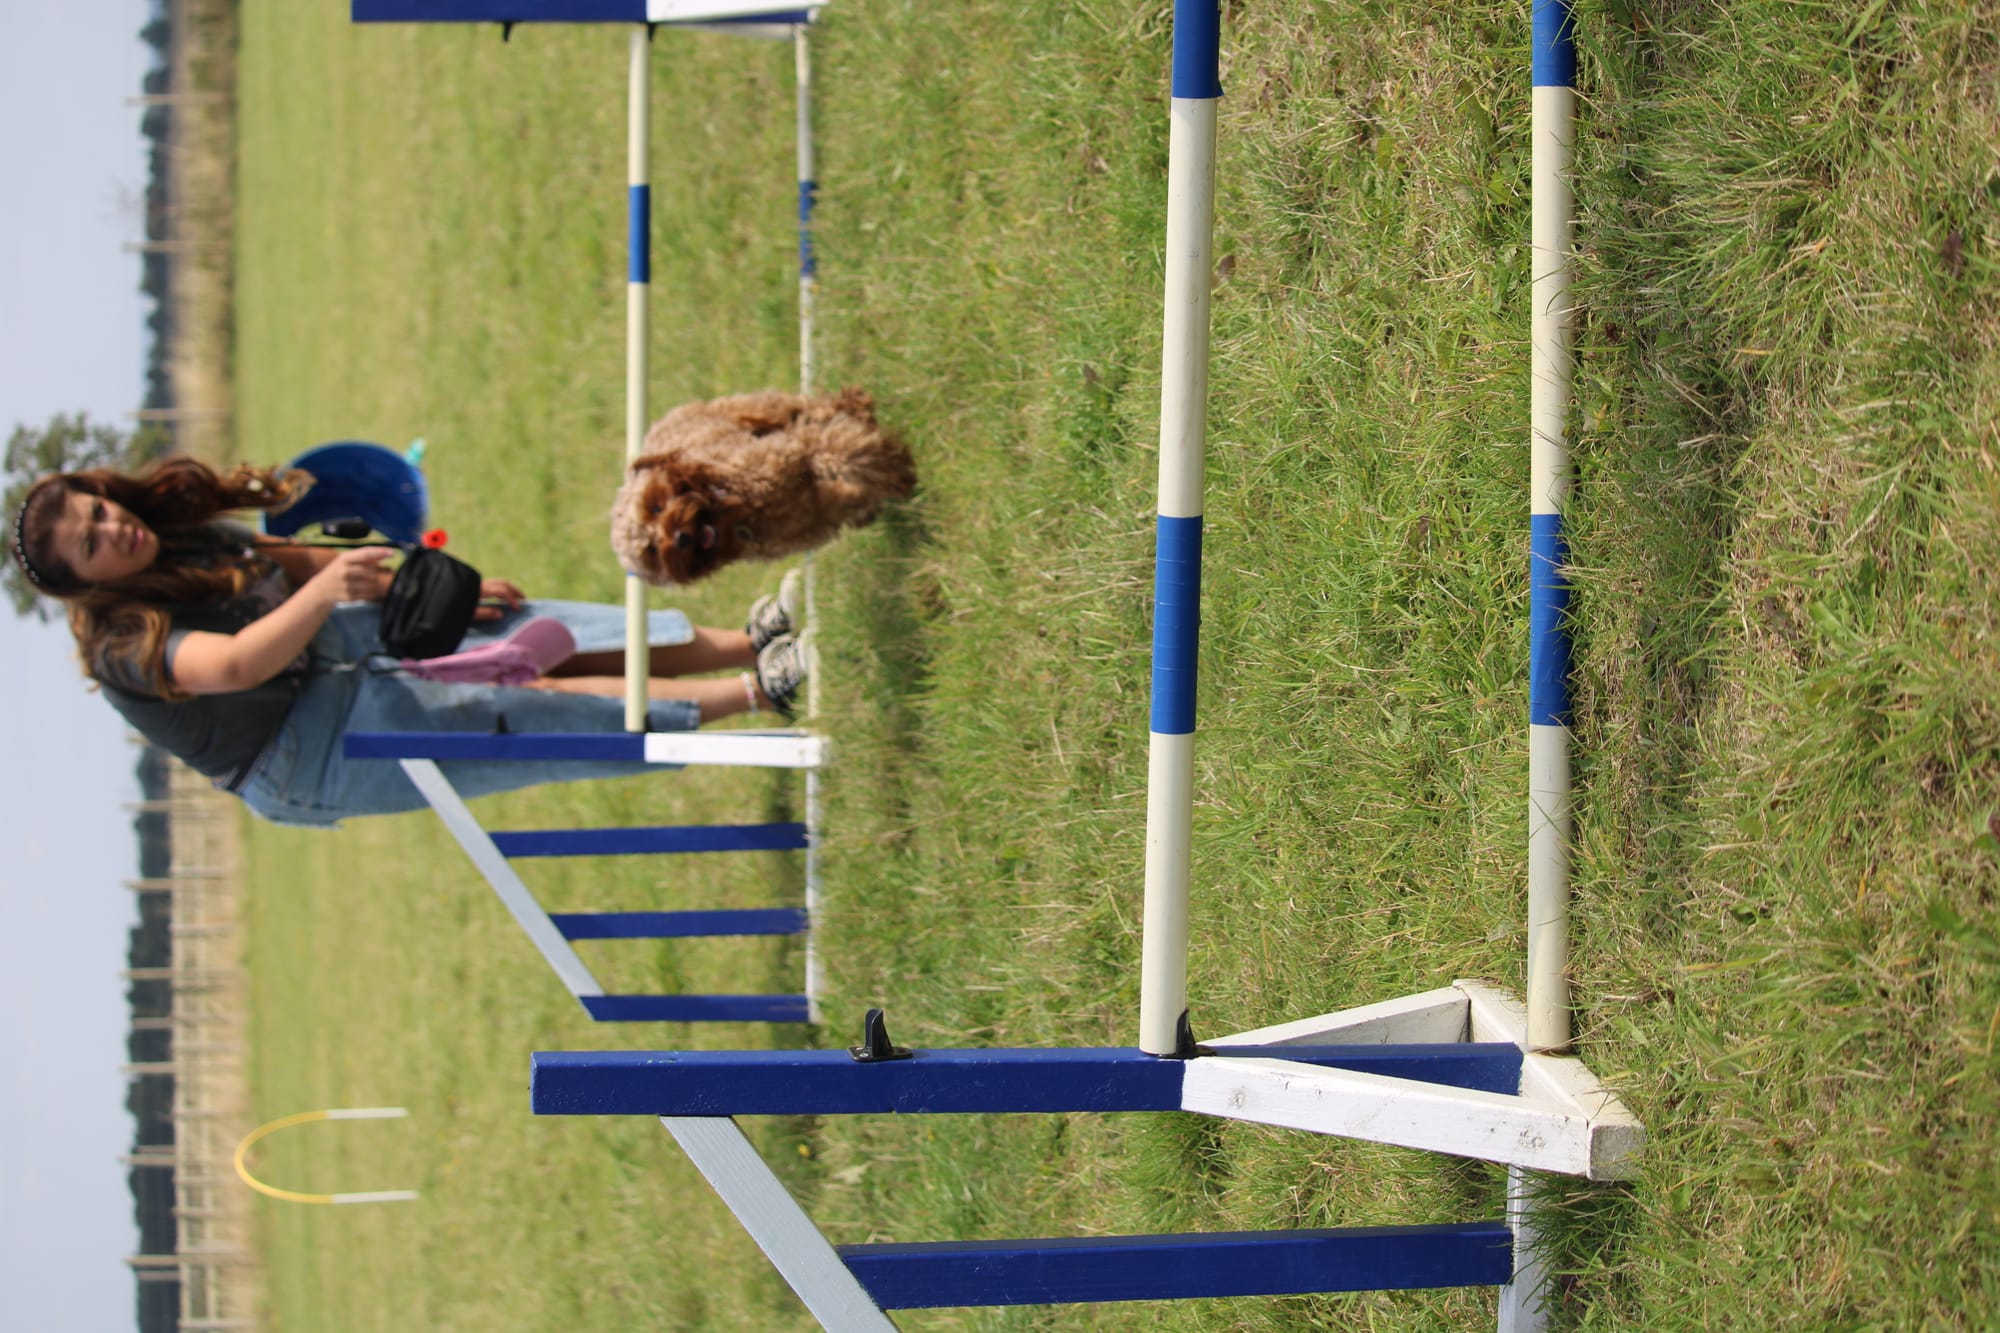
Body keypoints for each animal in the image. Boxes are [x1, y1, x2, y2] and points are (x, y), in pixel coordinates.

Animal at [610, 388, 915, 586]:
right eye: (651, 550)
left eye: (656, 505)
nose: (681, 539)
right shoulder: (811, 519)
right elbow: (845, 493)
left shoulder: (798, 450)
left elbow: (846, 453)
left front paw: (896, 469)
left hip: (762, 410)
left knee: (812, 407)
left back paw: (854, 405)